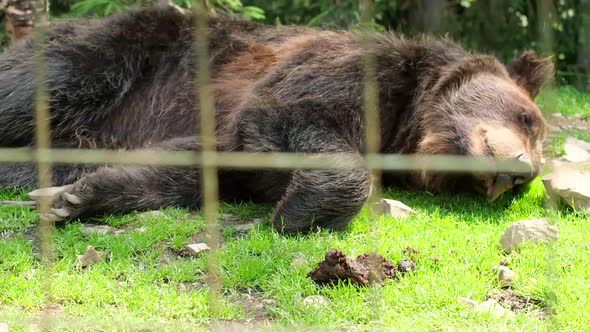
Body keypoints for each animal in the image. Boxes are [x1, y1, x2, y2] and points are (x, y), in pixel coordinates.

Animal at [0, 5, 556, 233]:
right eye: (529, 119)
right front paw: (298, 212)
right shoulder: (341, 73)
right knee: (44, 81)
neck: (407, 122)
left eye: (536, 138)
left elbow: (184, 168)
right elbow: (290, 117)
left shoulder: (216, 140)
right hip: (120, 51)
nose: (519, 172)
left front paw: (71, 198)